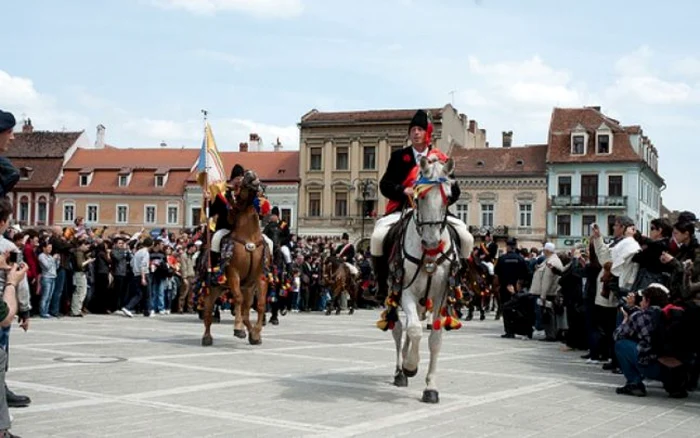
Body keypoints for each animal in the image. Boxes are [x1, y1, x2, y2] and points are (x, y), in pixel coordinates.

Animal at [202, 170, 270, 346]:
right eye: (238, 183)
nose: (251, 174)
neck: (249, 237)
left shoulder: (260, 277)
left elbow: (261, 305)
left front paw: (256, 332)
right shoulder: (233, 273)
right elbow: (237, 299)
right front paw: (238, 328)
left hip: (247, 288)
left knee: (246, 311)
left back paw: (253, 334)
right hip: (213, 288)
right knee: (208, 312)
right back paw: (207, 337)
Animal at [388, 157, 470, 404]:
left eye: (448, 196)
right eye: (419, 197)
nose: (432, 243)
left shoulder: (441, 295)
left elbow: (435, 339)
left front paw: (431, 387)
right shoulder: (405, 291)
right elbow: (414, 330)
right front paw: (410, 366)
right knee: (398, 329)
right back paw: (400, 371)